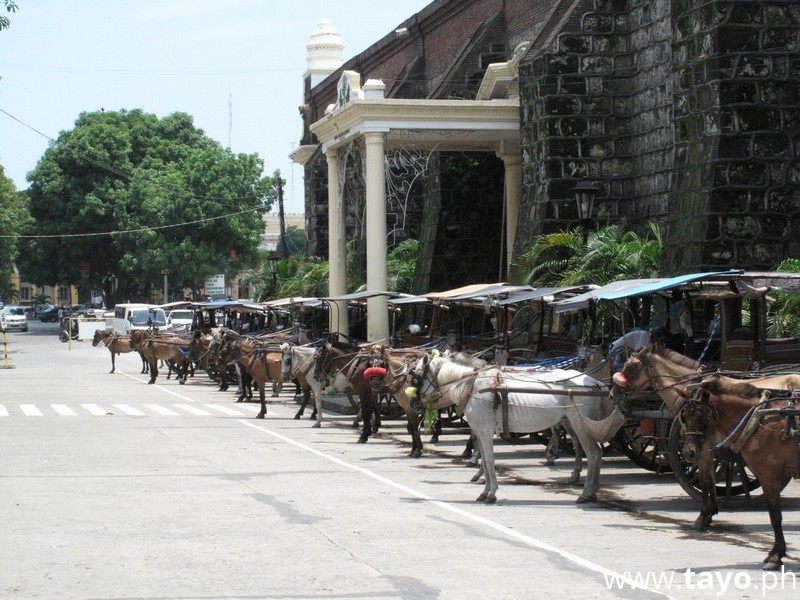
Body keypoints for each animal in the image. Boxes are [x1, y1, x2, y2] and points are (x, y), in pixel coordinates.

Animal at [407, 353, 617, 503]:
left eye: (416, 379)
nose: (413, 404)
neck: (473, 386)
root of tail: (595, 383)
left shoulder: (485, 431)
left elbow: (489, 461)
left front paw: (491, 493)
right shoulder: (480, 431)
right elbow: (484, 460)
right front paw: (484, 491)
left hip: (580, 423)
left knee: (593, 454)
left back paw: (585, 493)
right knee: (595, 452)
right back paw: (591, 492)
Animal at [679, 376, 800, 569]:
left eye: (705, 417)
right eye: (684, 416)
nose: (689, 452)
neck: (759, 420)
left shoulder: (769, 476)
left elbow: (775, 516)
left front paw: (776, 555)